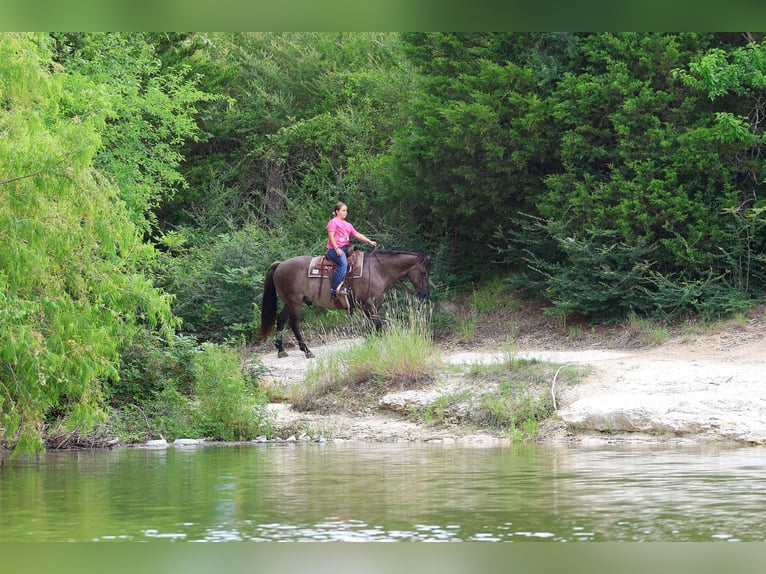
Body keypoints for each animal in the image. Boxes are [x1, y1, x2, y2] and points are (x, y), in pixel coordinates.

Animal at [259, 249, 431, 358]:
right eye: (423, 271)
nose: (425, 293)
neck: (378, 270)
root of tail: (280, 264)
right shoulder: (368, 304)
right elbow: (378, 325)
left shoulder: (373, 306)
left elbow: (372, 326)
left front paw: (369, 343)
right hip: (294, 302)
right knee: (294, 323)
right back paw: (307, 351)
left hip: (289, 302)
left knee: (281, 319)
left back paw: (281, 350)